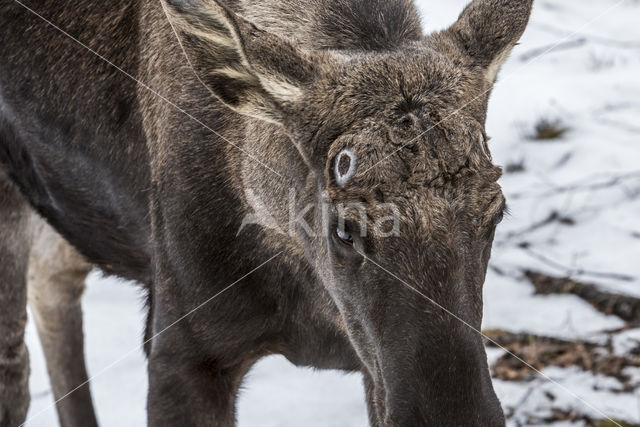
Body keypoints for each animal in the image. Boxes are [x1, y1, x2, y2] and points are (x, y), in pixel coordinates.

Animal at [0, 0, 532, 426]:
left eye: (496, 213)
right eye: (343, 229)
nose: (457, 416)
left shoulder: (372, 364)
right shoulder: (181, 350)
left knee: (52, 279)